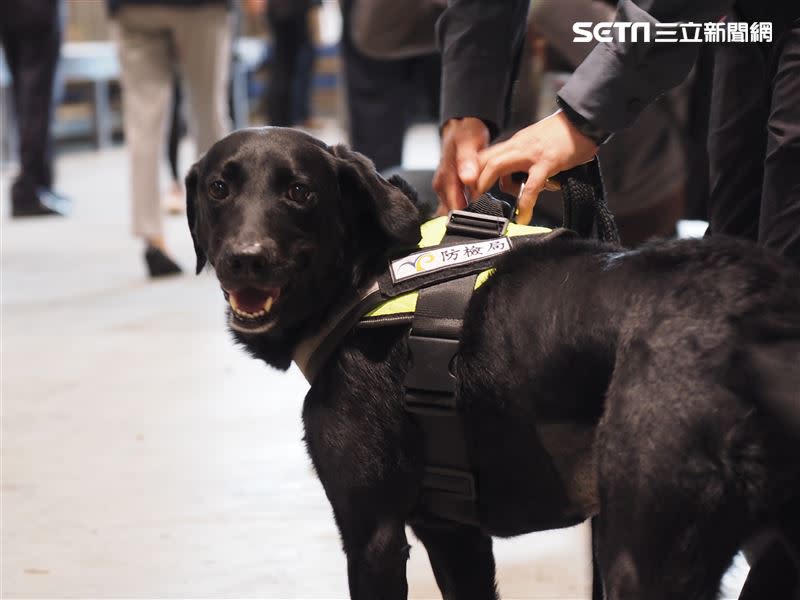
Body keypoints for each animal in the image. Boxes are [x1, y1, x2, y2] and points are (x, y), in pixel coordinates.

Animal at [186, 127, 800, 600]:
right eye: (219, 188)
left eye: (299, 191)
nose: (246, 259)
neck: (367, 276)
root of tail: (759, 313)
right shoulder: (455, 533)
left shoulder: (373, 536)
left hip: (644, 556)